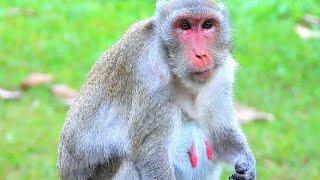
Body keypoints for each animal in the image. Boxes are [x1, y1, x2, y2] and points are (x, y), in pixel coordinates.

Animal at [57, 0, 256, 179]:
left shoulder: (222, 76)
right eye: (185, 26)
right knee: (129, 164)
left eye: (208, 25)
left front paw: (247, 164)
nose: (201, 55)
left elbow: (220, 132)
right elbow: (152, 153)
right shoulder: (151, 77)